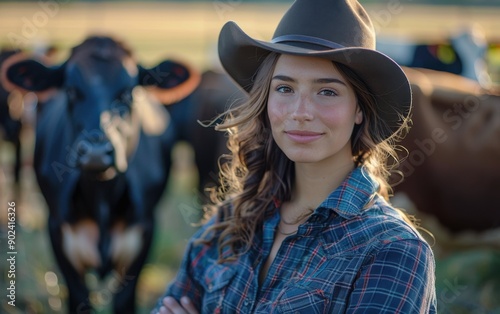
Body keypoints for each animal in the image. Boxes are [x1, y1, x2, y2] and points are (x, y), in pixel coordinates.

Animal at [4, 35, 199, 312]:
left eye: (128, 93)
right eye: (70, 90)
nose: (96, 152)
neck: (102, 195)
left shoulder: (143, 234)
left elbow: (124, 299)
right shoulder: (59, 233)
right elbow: (79, 297)